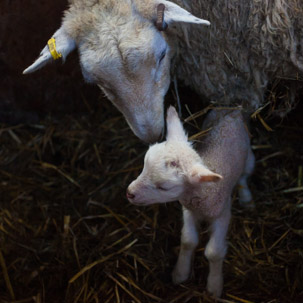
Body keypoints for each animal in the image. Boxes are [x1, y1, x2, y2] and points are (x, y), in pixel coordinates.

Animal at [127, 105, 255, 298]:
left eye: (164, 187)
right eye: (143, 166)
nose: (130, 193)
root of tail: (232, 109)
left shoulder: (222, 214)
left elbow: (214, 252)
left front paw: (214, 286)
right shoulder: (188, 210)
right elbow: (188, 240)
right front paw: (180, 273)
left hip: (248, 159)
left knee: (244, 177)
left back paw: (246, 198)